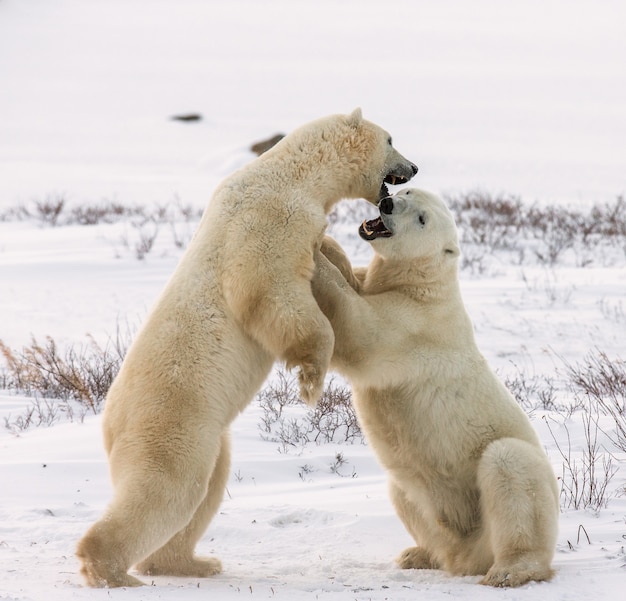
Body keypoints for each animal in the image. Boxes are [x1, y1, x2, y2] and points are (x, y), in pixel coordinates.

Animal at [75, 109, 416, 584]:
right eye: (391, 140)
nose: (414, 167)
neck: (292, 175)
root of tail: (109, 421)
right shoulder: (269, 220)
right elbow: (269, 290)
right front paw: (311, 381)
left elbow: (327, 252)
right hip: (173, 421)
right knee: (166, 489)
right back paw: (110, 569)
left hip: (207, 437)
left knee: (205, 490)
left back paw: (192, 562)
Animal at [312, 189, 556, 584]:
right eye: (406, 192)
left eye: (422, 218)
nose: (387, 203)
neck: (424, 284)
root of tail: (467, 556)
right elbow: (357, 281)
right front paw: (327, 241)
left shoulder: (413, 324)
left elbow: (356, 326)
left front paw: (315, 254)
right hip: (427, 511)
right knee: (403, 491)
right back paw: (418, 554)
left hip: (503, 499)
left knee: (510, 465)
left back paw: (510, 570)